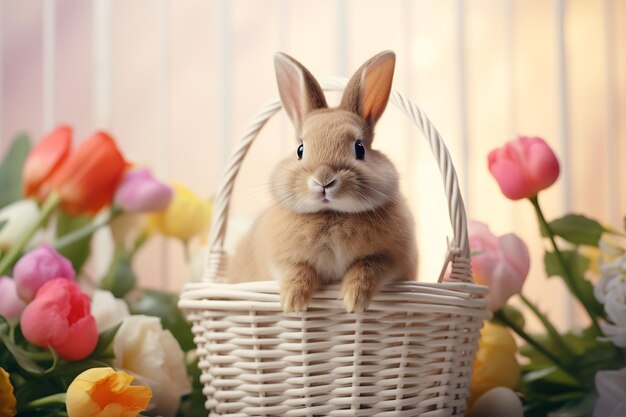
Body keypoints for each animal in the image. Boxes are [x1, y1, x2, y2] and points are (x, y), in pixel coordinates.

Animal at [227, 50, 416, 312]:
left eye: (359, 149)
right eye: (300, 149)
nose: (324, 180)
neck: (331, 214)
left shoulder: (391, 258)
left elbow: (367, 267)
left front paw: (354, 301)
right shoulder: (281, 259)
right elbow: (298, 269)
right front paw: (293, 301)